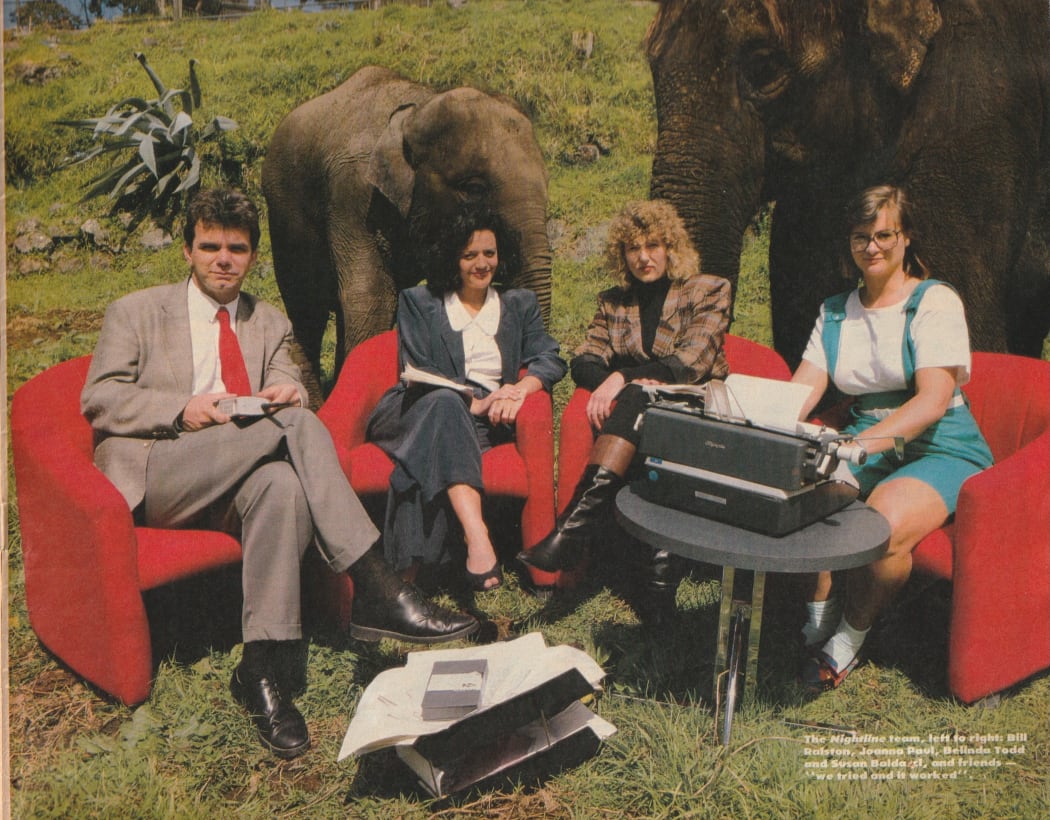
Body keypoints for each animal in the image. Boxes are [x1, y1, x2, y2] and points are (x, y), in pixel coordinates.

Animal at [262, 64, 554, 390]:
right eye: (474, 189)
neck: (418, 106)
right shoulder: (352, 194)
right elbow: (373, 298)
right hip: (283, 215)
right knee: (307, 310)